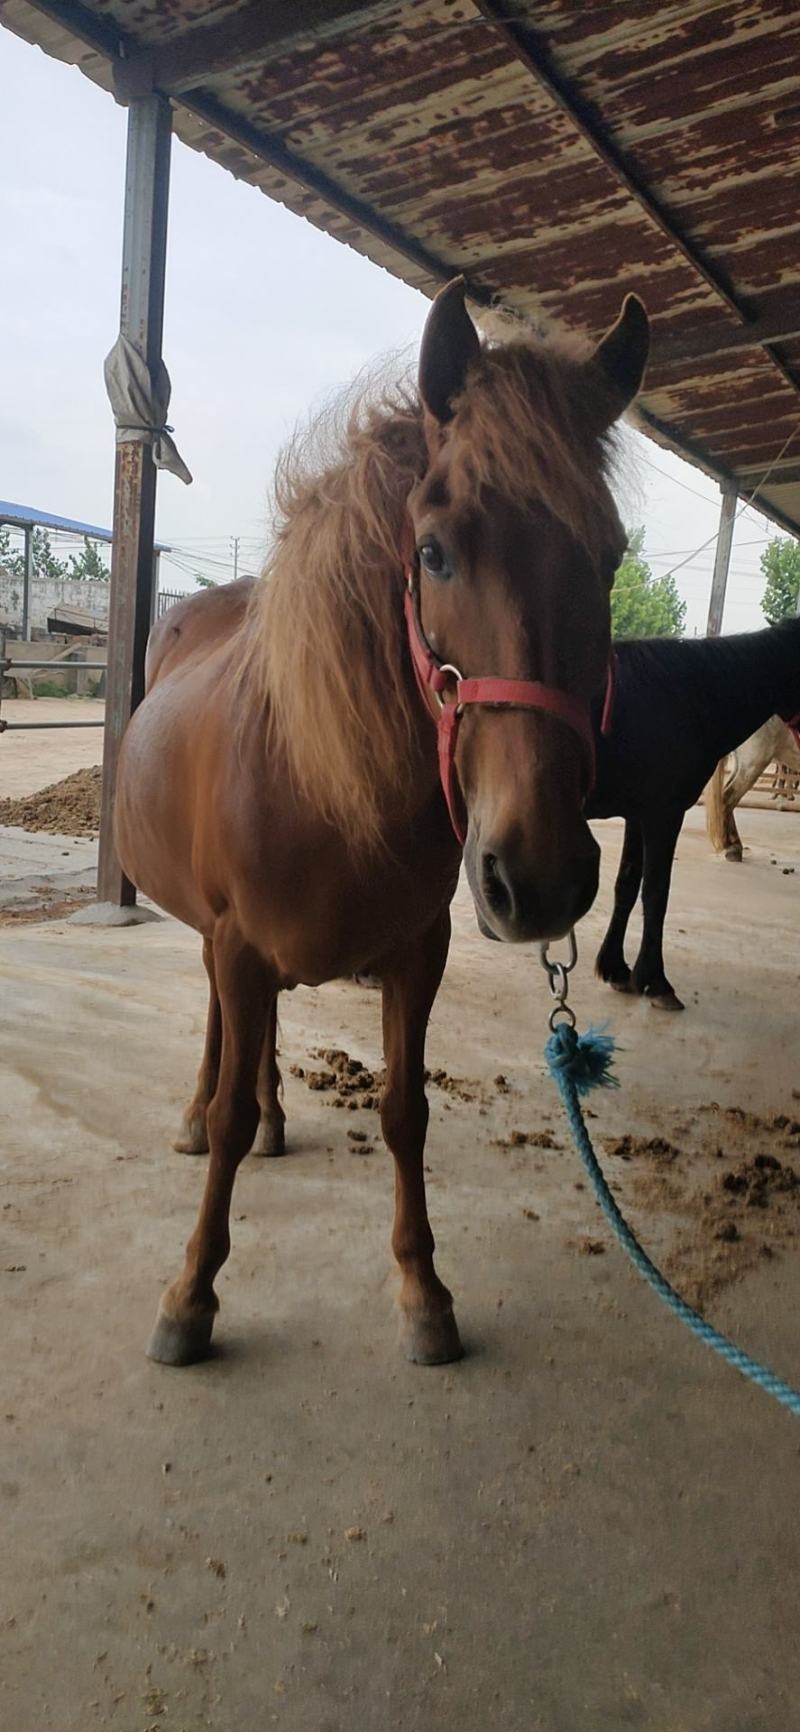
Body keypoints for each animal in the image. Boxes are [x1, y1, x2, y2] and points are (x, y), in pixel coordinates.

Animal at [115, 277, 649, 1368]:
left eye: (610, 557)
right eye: (432, 552)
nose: (537, 875)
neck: (317, 778)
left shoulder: (417, 953)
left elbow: (406, 1112)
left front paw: (423, 1292)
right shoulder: (239, 944)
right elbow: (226, 1118)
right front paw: (191, 1295)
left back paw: (276, 1114)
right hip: (215, 936)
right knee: (221, 1040)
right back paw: (207, 1111)